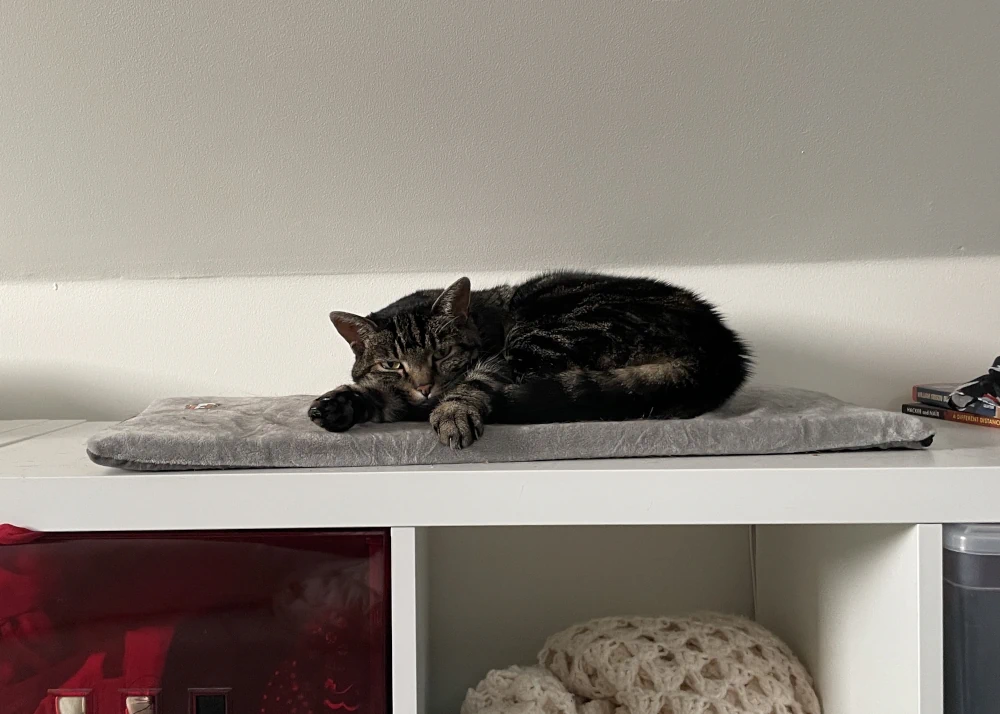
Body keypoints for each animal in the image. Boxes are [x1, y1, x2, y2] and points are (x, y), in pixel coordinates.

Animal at [308, 270, 752, 448]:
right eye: (391, 364)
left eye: (442, 353)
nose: (424, 385)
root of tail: (722, 348)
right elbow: (379, 393)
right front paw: (338, 403)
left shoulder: (496, 359)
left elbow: (470, 383)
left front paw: (452, 411)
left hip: (547, 332)